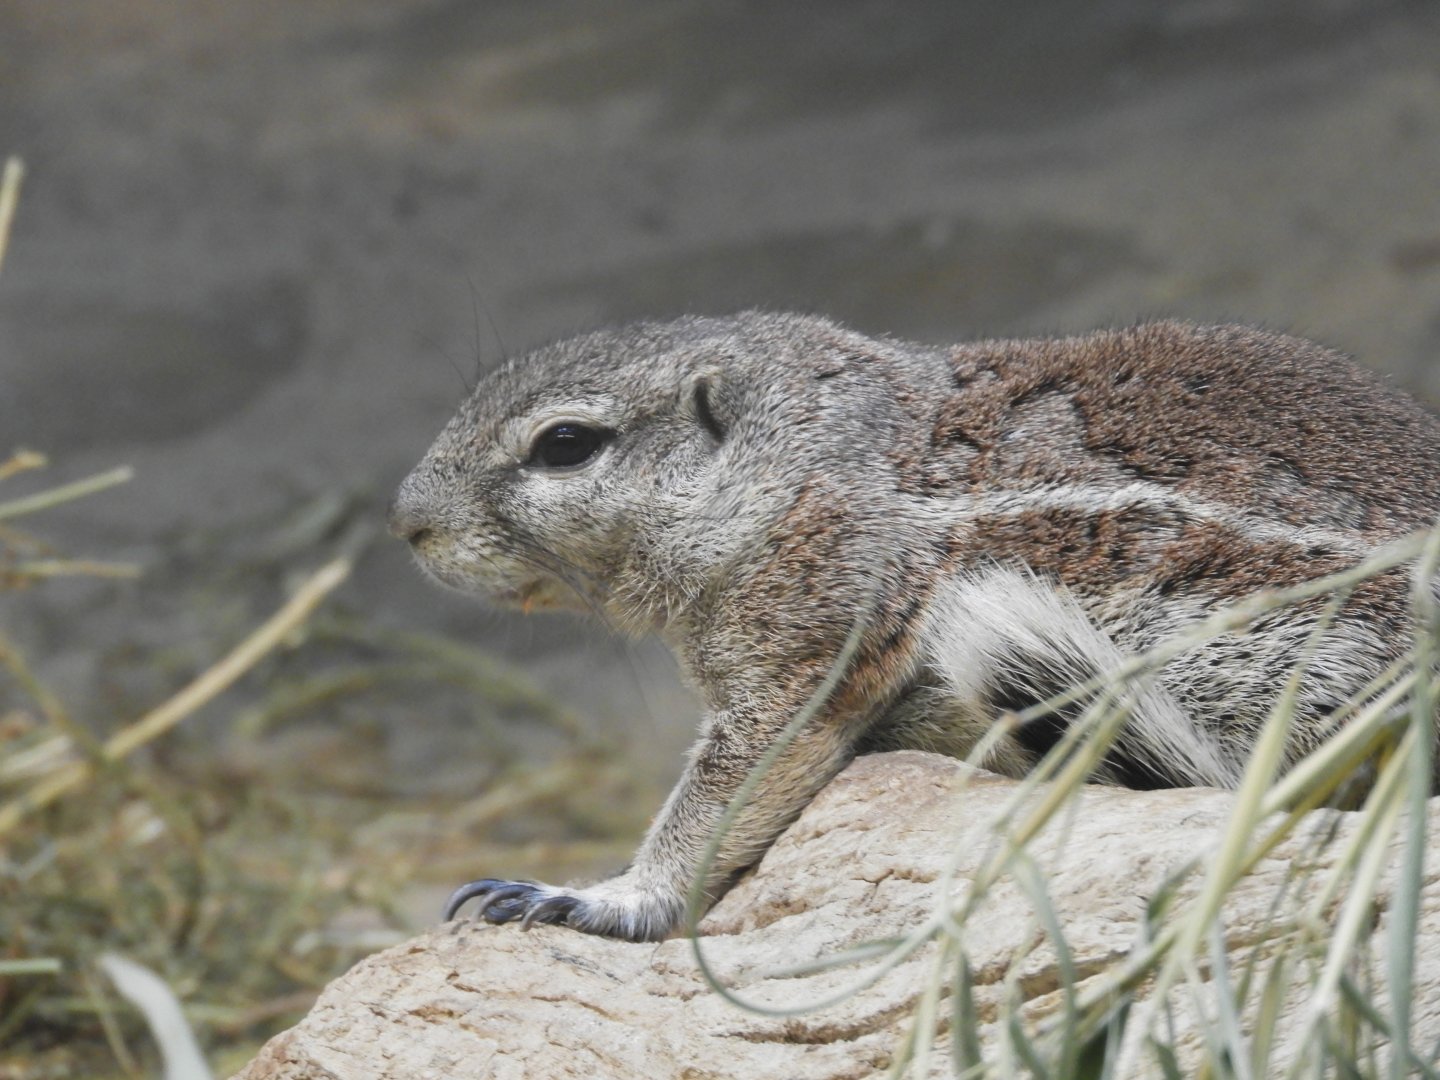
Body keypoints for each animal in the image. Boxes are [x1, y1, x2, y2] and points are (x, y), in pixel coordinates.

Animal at [388, 313, 1440, 942]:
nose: (406, 523)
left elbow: (724, 793)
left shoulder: (806, 642)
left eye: (565, 444)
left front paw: (597, 896)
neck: (802, 458)